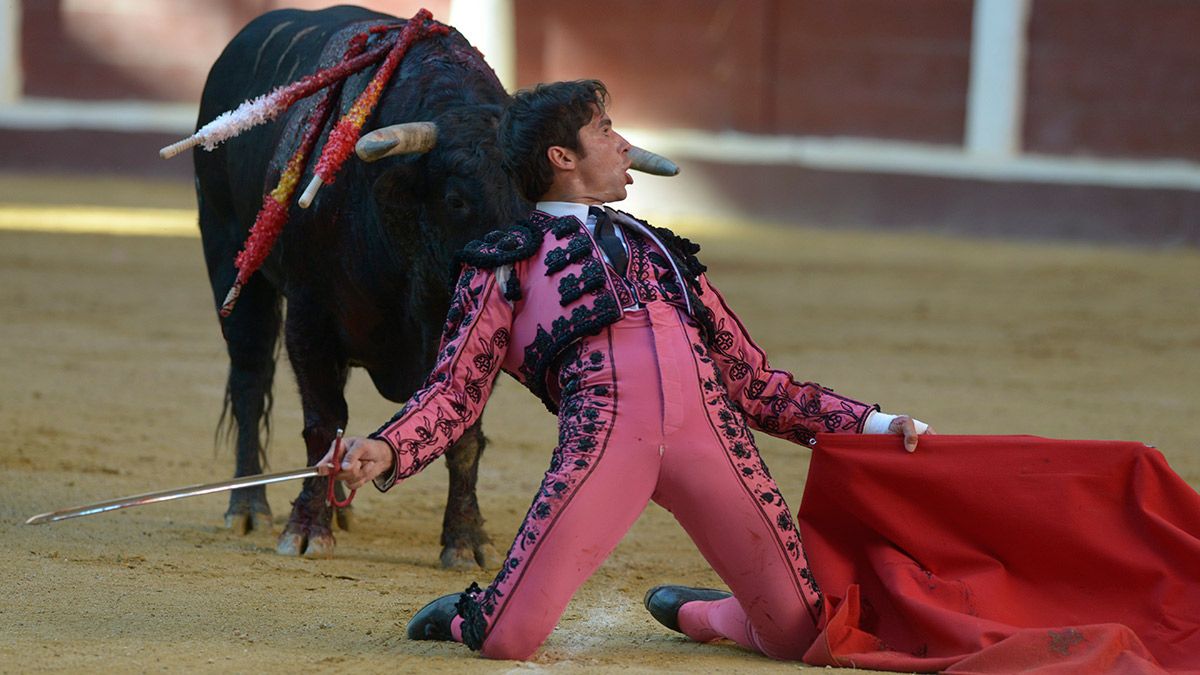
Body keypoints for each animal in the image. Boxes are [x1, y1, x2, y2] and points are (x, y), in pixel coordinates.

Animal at [194, 6, 528, 562]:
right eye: (457, 199)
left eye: (538, 201)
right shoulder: (309, 316)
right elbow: (322, 423)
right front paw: (307, 529)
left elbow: (464, 435)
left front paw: (465, 541)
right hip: (229, 257)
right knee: (250, 379)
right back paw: (248, 508)